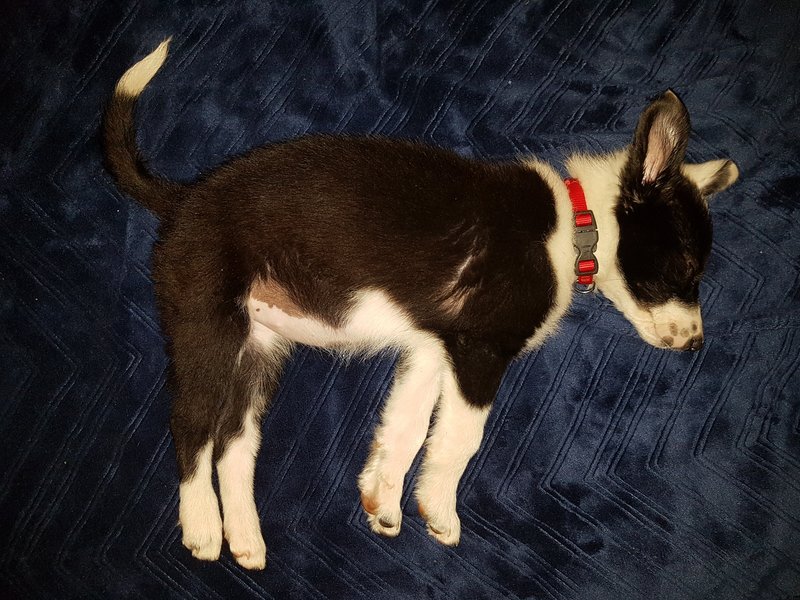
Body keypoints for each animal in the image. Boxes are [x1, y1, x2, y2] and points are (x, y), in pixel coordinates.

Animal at [104, 39, 738, 570]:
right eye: (688, 269)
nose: (698, 344)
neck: (577, 227)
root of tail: (183, 198)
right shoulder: (479, 350)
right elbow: (461, 438)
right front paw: (439, 511)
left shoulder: (432, 350)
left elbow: (405, 428)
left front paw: (383, 502)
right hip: (207, 326)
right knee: (191, 427)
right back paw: (203, 528)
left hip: (259, 348)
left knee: (235, 445)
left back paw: (246, 538)